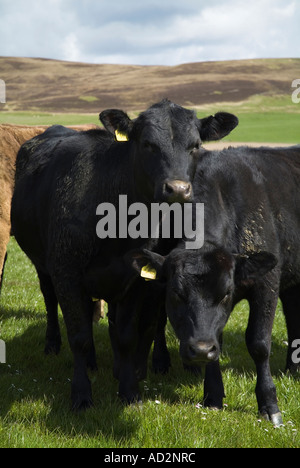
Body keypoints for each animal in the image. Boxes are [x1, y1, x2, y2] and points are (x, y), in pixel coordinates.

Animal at [10, 99, 238, 410]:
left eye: (195, 145)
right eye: (147, 144)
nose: (178, 189)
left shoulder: (136, 279)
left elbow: (127, 335)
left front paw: (129, 390)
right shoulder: (66, 272)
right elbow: (79, 336)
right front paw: (81, 395)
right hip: (42, 265)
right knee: (50, 300)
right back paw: (53, 345)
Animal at [132, 145, 300, 424]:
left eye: (225, 295)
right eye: (177, 294)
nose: (199, 350)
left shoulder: (267, 284)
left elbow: (259, 344)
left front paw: (269, 404)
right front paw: (212, 394)